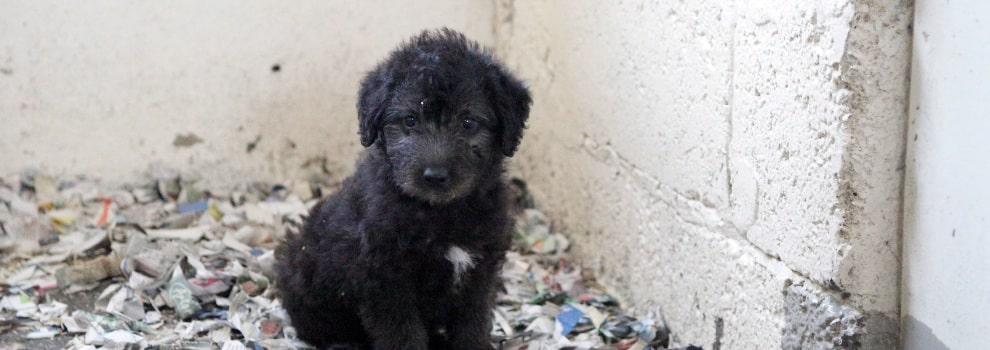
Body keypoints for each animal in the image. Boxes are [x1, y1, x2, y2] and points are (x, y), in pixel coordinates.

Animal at [274, 29, 536, 350]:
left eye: (468, 122)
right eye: (410, 120)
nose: (434, 176)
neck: (440, 214)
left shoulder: (480, 271)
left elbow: (472, 324)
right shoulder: (385, 280)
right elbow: (402, 334)